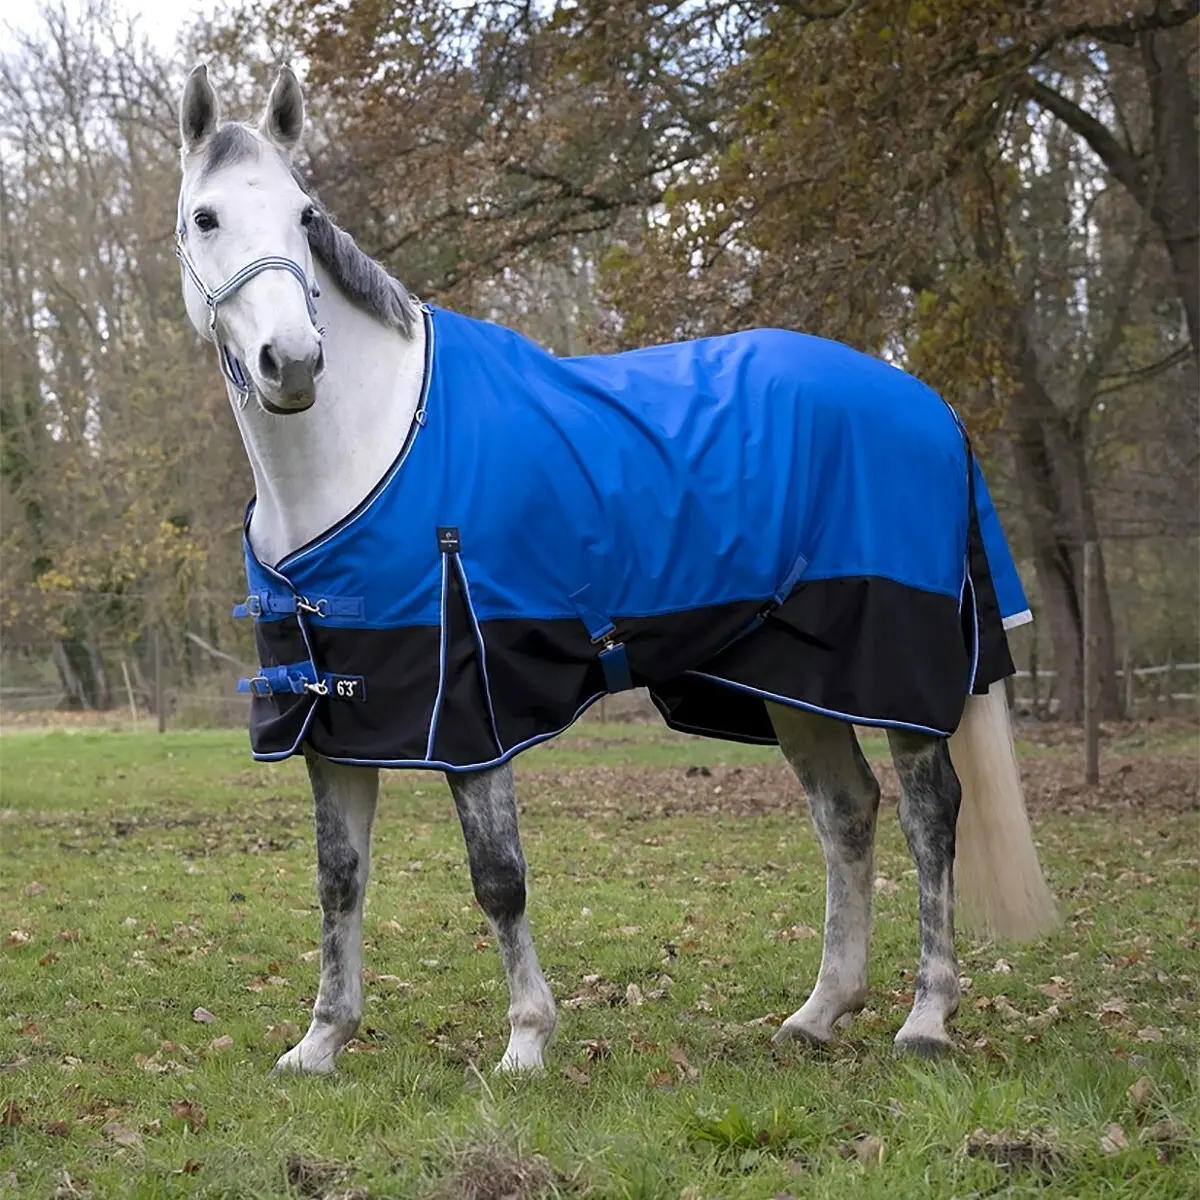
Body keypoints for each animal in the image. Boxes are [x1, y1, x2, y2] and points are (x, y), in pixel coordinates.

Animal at [175, 65, 1058, 1075]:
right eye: (206, 216)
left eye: (305, 215)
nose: (291, 363)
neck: (365, 450)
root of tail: (929, 404)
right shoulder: (338, 723)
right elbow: (339, 880)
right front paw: (322, 1042)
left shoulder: (470, 713)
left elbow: (498, 878)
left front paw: (526, 1042)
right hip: (800, 678)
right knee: (847, 813)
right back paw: (819, 1012)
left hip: (893, 675)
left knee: (928, 814)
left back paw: (926, 1018)